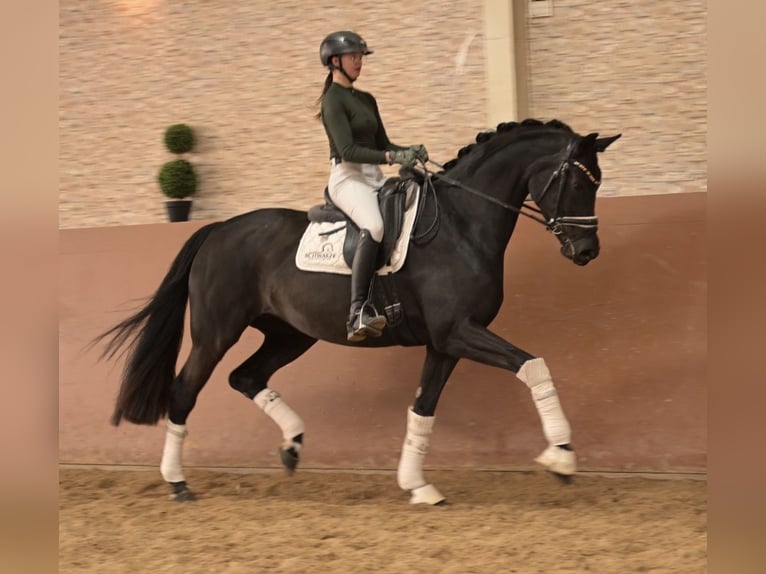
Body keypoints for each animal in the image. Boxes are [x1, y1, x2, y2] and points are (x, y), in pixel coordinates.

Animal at [96, 118, 621, 504]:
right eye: (576, 179)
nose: (587, 251)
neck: (461, 225)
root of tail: (219, 229)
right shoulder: (458, 331)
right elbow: (534, 367)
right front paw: (562, 457)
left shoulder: (445, 341)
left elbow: (423, 408)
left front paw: (418, 486)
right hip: (216, 332)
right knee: (185, 391)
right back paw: (178, 483)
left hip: (290, 334)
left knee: (246, 377)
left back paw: (292, 446)